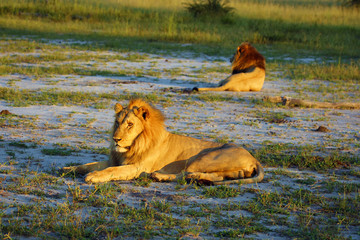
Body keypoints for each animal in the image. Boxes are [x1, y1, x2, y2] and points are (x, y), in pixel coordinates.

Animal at [63, 98, 262, 185]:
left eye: (130, 124)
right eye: (117, 123)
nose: (115, 139)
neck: (134, 145)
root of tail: (254, 159)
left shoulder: (138, 167)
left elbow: (111, 170)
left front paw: (94, 177)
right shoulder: (115, 160)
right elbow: (89, 164)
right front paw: (68, 169)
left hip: (202, 159)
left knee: (183, 174)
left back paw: (159, 176)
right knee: (213, 176)